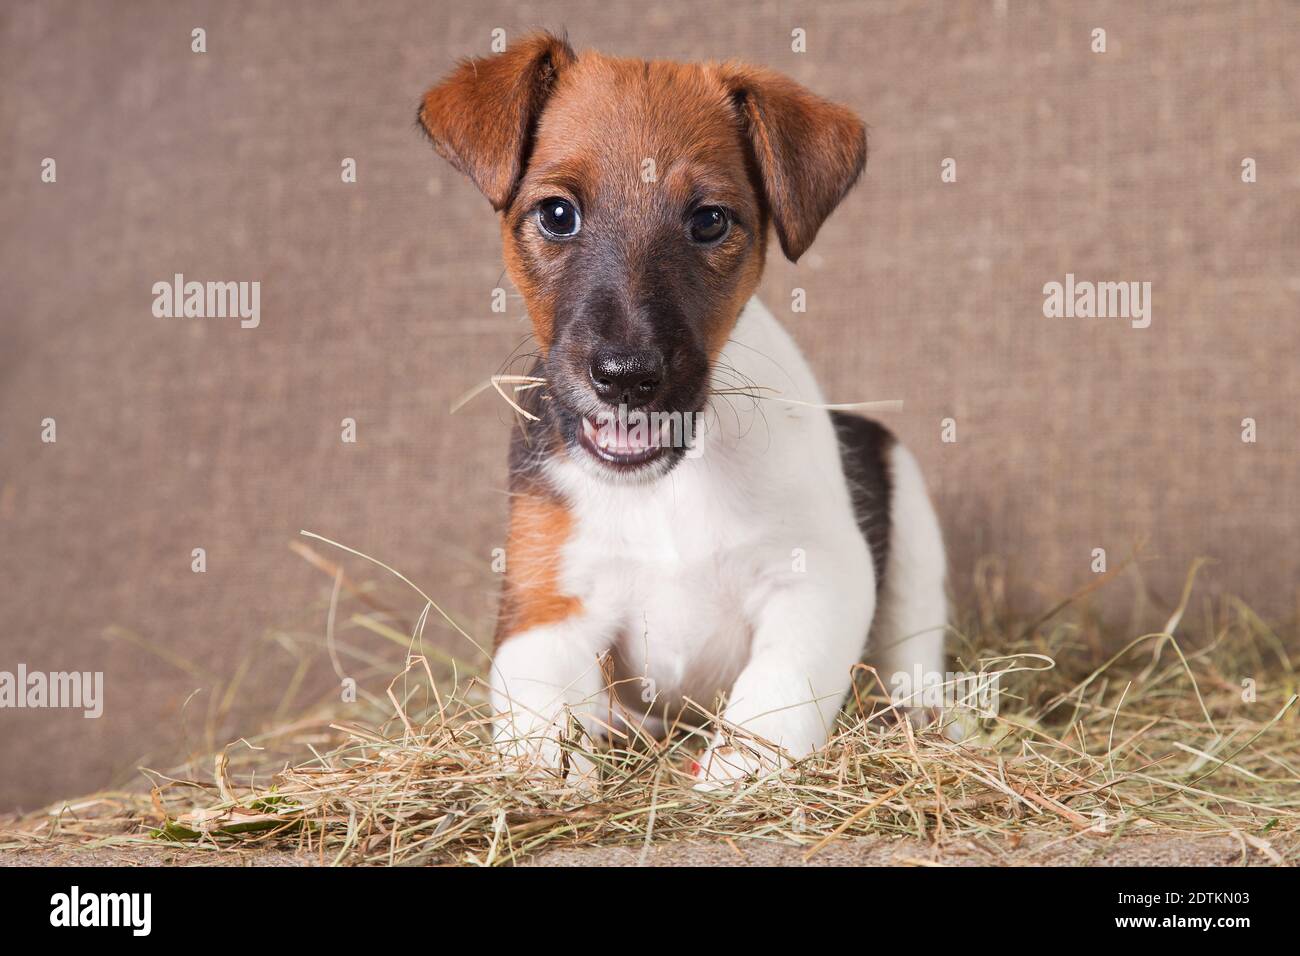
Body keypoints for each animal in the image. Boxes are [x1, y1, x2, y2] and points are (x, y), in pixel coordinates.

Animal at [421, 31, 951, 785]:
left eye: (708, 221)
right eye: (557, 214)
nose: (626, 377)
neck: (667, 486)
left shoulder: (820, 576)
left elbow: (773, 698)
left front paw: (736, 772)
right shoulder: (544, 606)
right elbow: (541, 723)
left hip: (906, 517)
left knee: (915, 653)